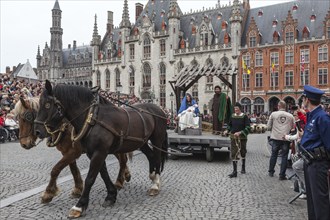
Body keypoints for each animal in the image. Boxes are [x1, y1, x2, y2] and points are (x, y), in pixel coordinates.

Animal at [34, 81, 168, 218]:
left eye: (47, 104)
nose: (37, 131)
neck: (92, 118)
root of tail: (160, 109)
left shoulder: (99, 152)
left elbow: (90, 178)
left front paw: (79, 206)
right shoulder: (93, 153)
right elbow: (103, 174)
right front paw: (111, 195)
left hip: (157, 139)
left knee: (157, 158)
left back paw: (155, 185)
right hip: (141, 142)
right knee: (150, 156)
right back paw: (152, 176)